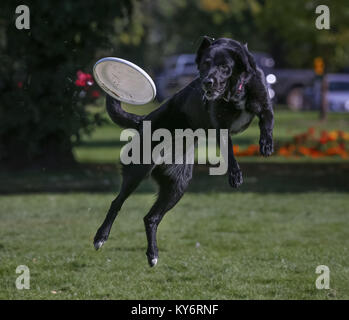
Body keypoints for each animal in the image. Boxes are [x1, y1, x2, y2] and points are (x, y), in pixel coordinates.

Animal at [94, 37, 274, 268]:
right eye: (205, 64)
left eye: (224, 67)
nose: (207, 82)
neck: (236, 90)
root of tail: (143, 120)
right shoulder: (220, 127)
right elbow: (229, 152)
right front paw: (235, 174)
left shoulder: (264, 104)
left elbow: (267, 120)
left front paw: (266, 144)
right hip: (138, 171)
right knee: (117, 202)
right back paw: (101, 237)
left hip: (178, 184)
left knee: (151, 218)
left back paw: (153, 254)